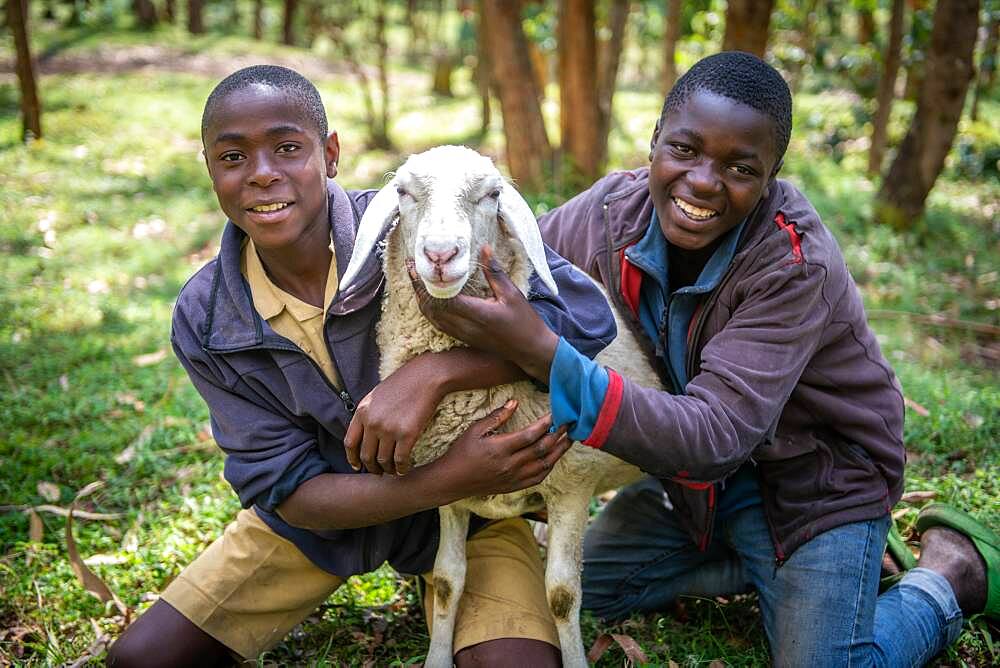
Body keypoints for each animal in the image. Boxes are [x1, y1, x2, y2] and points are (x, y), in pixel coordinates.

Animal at [338, 146, 664, 668]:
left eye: (491, 196)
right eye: (404, 193)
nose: (441, 255)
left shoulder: (574, 483)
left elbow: (562, 595)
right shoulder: (449, 485)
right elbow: (448, 580)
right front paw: (436, 658)